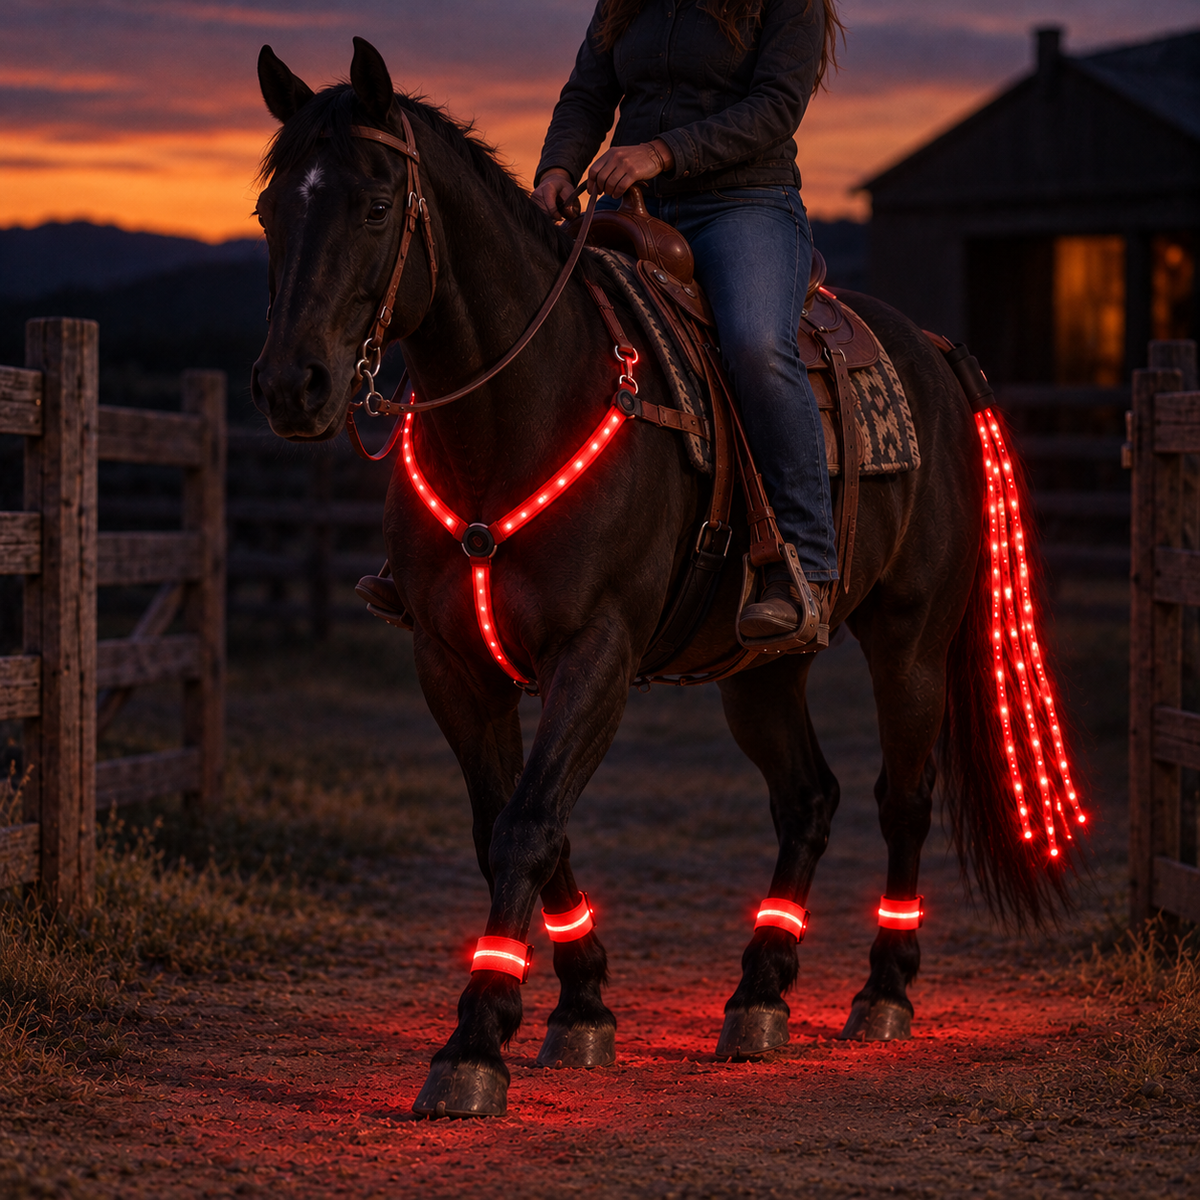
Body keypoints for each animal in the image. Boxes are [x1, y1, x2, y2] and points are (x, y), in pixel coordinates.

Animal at [251, 38, 1082, 1118]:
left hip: (911, 639)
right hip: (762, 669)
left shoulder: (596, 655)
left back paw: (883, 993)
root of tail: (935, 353)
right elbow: (513, 824)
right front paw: (581, 1008)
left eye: (378, 205)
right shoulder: (455, 666)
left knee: (903, 796)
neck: (522, 416)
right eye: (271, 209)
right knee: (809, 796)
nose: (291, 387)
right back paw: (760, 992)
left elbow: (529, 826)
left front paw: (475, 1044)